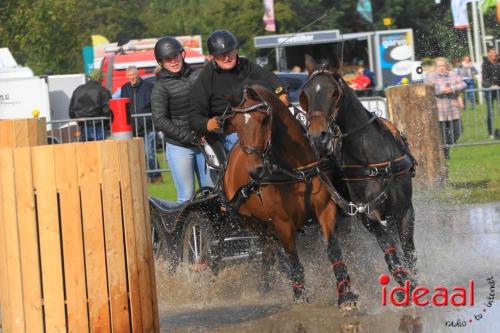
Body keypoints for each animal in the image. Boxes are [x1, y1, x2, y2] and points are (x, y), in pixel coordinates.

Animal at [223, 83, 360, 308]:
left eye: (263, 120)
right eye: (235, 124)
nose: (255, 172)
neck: (297, 170)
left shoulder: (326, 209)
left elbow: (333, 250)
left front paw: (346, 294)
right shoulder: (282, 222)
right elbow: (293, 258)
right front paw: (299, 296)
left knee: (269, 251)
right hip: (251, 221)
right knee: (270, 249)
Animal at [298, 54, 420, 288]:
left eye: (334, 92)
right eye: (305, 94)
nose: (317, 136)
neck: (372, 158)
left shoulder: (404, 209)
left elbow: (409, 253)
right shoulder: (368, 214)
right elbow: (390, 252)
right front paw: (404, 286)